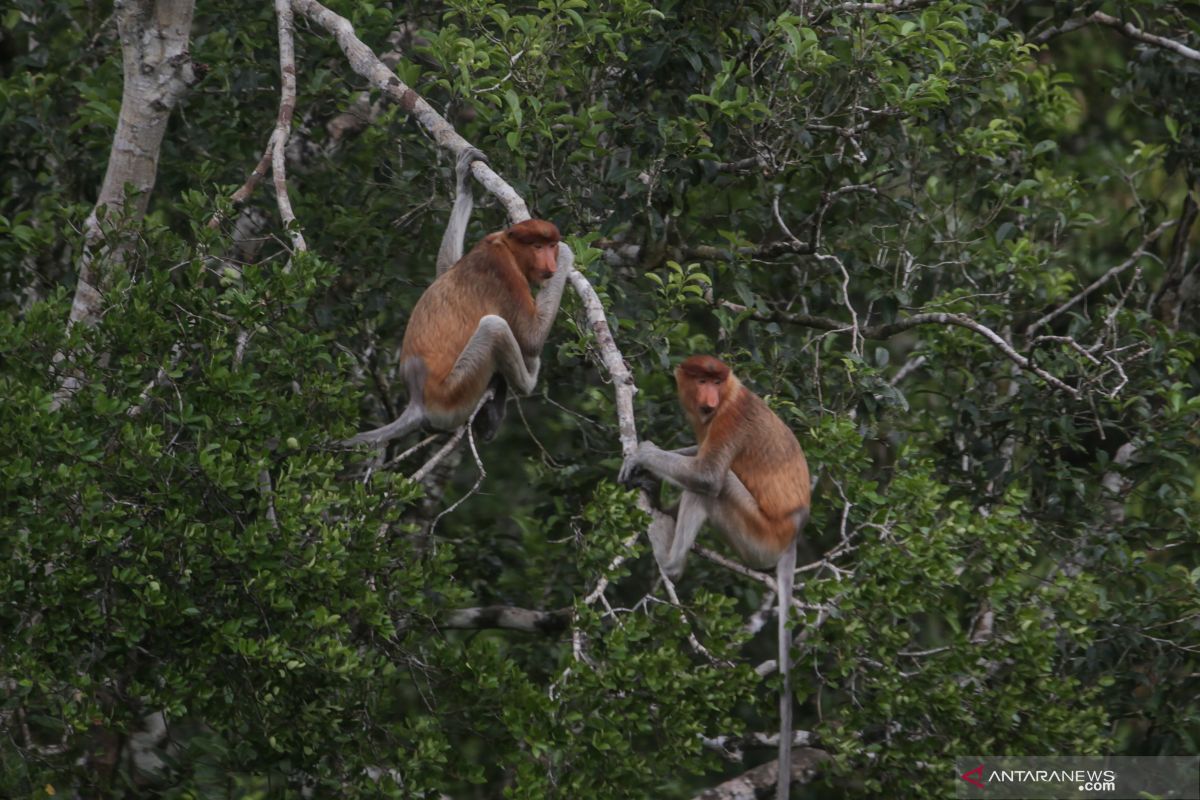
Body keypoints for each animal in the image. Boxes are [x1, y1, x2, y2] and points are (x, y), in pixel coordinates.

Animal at [348, 149, 571, 448]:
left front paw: (464, 179)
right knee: (494, 327)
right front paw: (568, 253)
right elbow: (531, 338)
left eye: (550, 245)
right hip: (456, 392)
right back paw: (527, 380)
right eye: (538, 246)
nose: (550, 265)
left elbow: (444, 271)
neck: (505, 246)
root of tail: (418, 401)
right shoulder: (504, 273)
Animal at [624, 357, 811, 800]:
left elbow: (708, 474)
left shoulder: (729, 421)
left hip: (757, 537)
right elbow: (696, 453)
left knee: (714, 485)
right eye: (700, 379)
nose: (708, 396)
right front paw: (647, 464)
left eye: (715, 380)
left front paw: (644, 453)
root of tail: (792, 534)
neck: (728, 395)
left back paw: (668, 556)